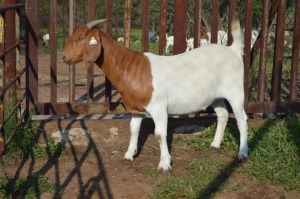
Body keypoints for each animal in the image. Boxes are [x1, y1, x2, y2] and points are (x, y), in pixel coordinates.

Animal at [62, 18, 248, 171]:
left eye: (80, 38)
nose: (64, 57)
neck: (130, 67)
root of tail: (233, 50)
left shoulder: (158, 107)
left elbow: (160, 133)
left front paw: (164, 164)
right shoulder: (135, 108)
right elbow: (133, 129)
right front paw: (129, 155)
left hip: (235, 92)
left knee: (242, 119)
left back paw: (242, 153)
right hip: (216, 96)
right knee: (223, 114)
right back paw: (215, 144)